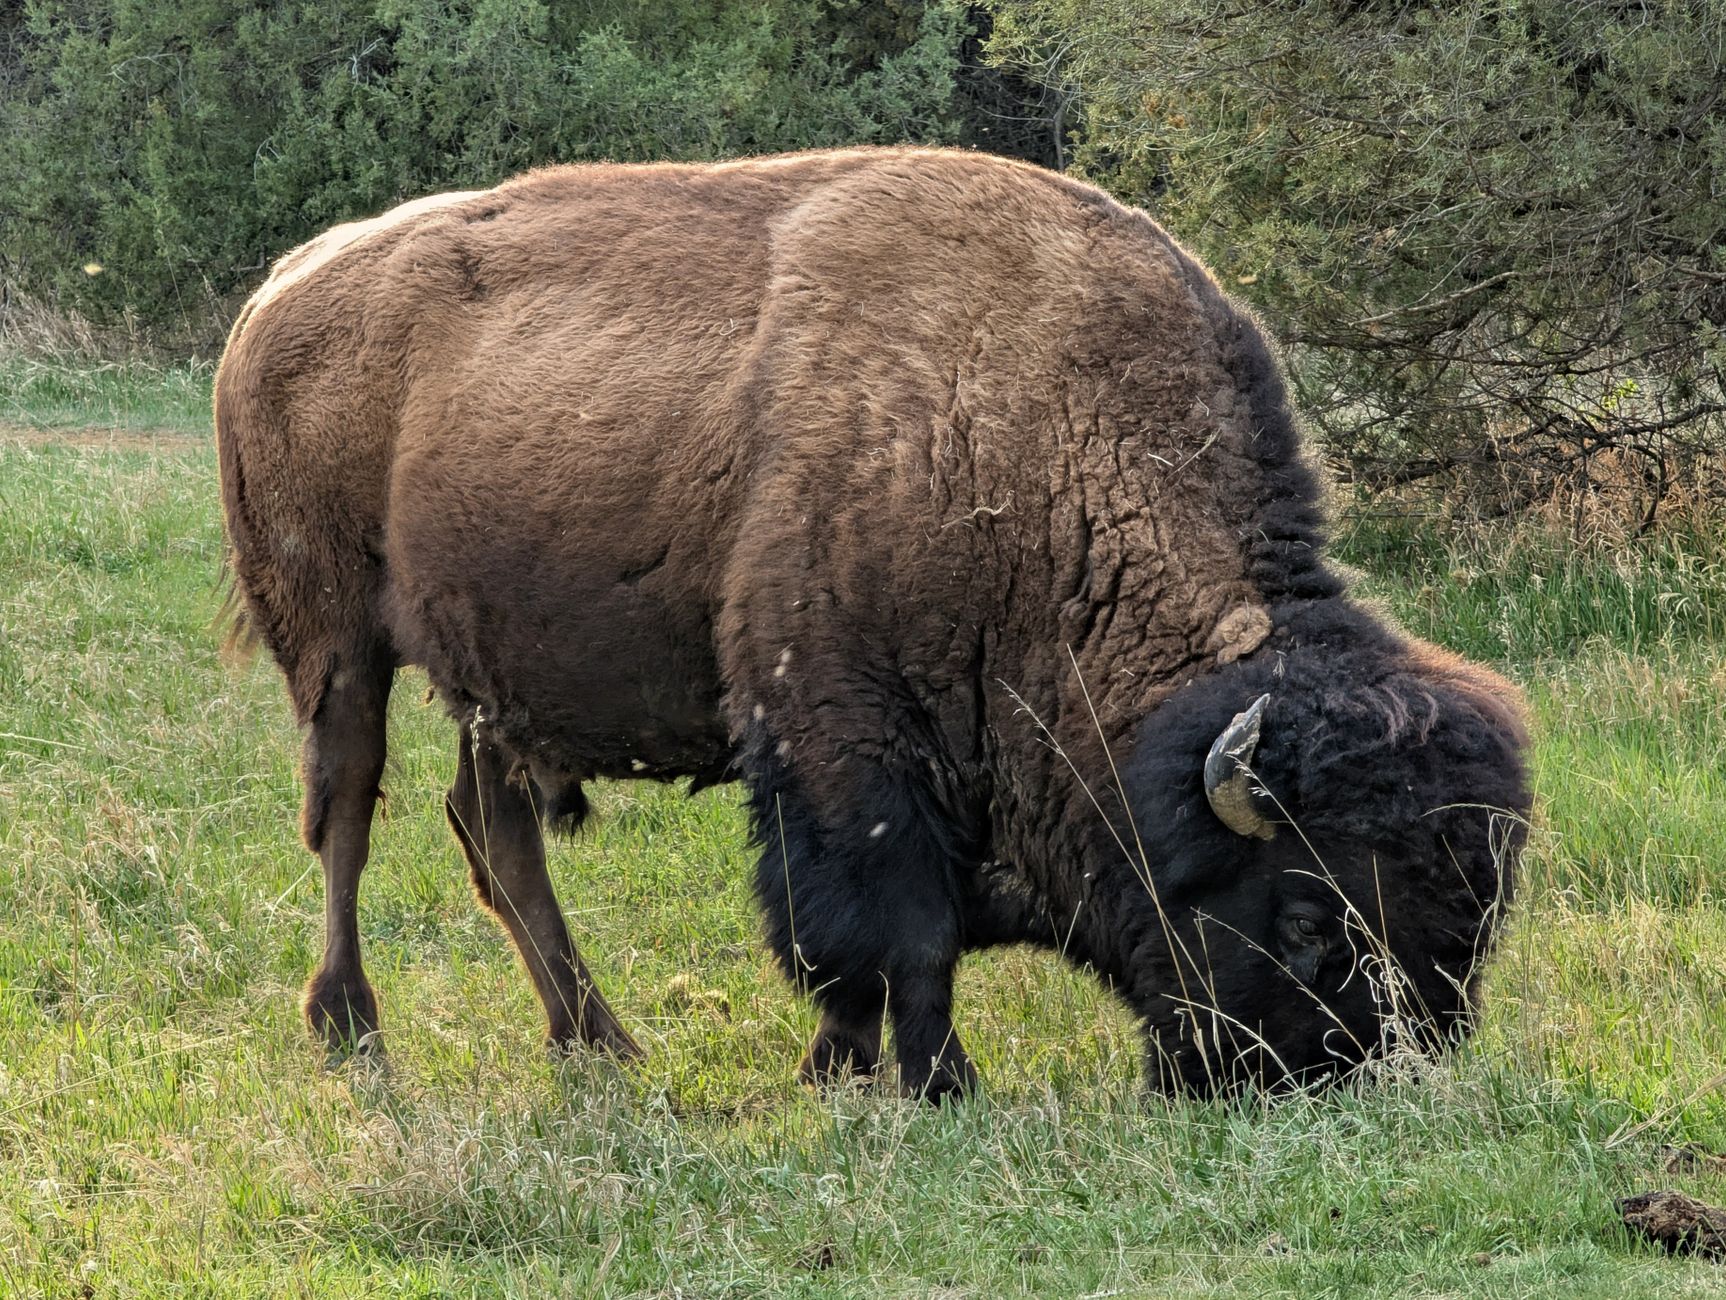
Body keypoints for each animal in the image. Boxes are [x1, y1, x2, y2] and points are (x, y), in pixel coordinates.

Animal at [216, 147, 1529, 1098]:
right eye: (1307, 917)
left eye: (1470, 933)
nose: (1331, 1079)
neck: (1033, 446)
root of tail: (279, 290)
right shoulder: (846, 743)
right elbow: (898, 933)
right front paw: (936, 1083)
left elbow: (865, 952)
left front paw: (836, 1071)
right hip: (335, 639)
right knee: (345, 814)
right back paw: (353, 1030)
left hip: (490, 674)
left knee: (493, 832)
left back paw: (599, 1042)